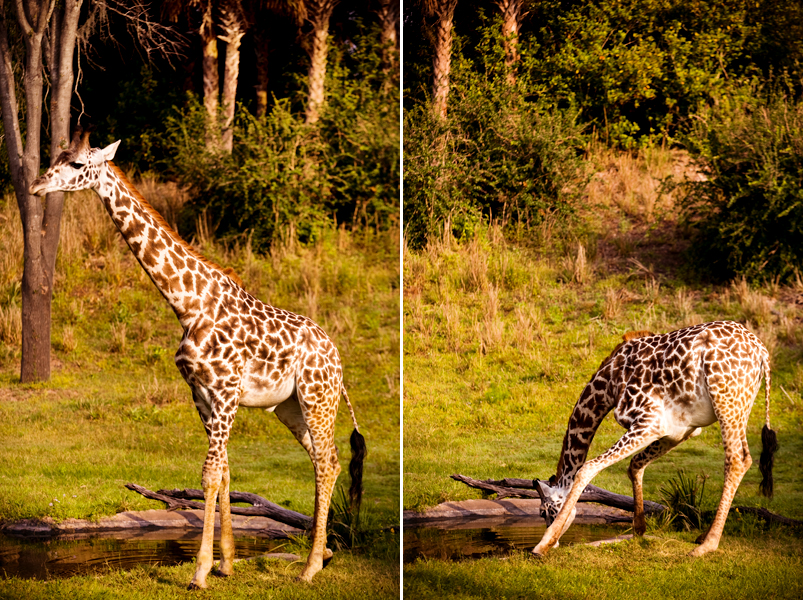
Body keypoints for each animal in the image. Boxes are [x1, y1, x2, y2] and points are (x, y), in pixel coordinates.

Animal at [28, 129, 368, 588]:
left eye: (78, 164)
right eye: (55, 156)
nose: (36, 185)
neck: (187, 304)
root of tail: (337, 359)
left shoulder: (225, 392)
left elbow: (209, 473)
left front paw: (200, 571)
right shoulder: (201, 395)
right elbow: (223, 470)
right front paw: (225, 563)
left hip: (319, 398)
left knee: (329, 462)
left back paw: (311, 566)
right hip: (291, 407)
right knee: (322, 460)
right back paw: (324, 552)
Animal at [532, 322, 780, 560]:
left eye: (544, 511)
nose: (556, 543)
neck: (609, 385)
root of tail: (762, 352)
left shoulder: (649, 423)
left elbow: (587, 468)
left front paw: (543, 544)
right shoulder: (679, 430)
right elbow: (635, 465)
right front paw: (639, 529)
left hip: (725, 400)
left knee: (736, 460)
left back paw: (707, 545)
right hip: (740, 407)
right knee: (746, 458)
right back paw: (704, 536)